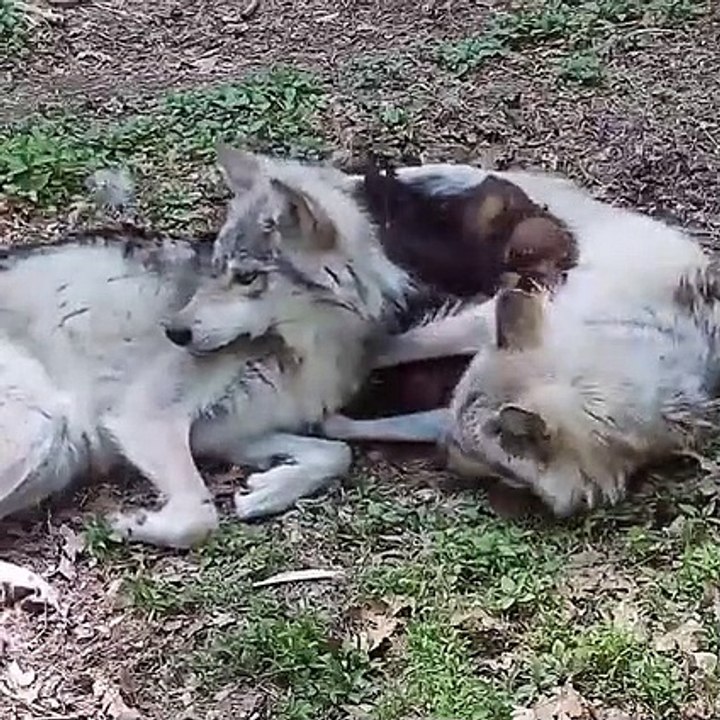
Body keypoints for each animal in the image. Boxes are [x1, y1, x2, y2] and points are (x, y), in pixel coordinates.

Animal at [0, 146, 408, 548]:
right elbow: (200, 517)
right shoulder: (144, 418)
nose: (174, 332)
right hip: (47, 428)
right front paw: (130, 523)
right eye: (215, 266)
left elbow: (338, 452)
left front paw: (265, 491)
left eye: (246, 277)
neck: (301, 351)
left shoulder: (220, 433)